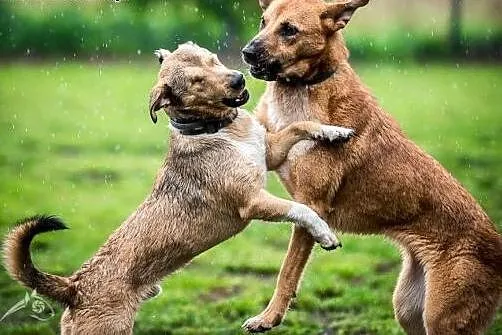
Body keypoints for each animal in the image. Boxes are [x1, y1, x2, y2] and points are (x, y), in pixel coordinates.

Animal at [1, 43, 352, 334]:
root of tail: (74, 287)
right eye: (196, 82)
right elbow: (302, 209)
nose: (239, 78)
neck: (216, 129)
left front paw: (335, 131)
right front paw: (325, 235)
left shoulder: (271, 152)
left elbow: (301, 126)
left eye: (213, 59)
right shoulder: (253, 202)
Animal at [242, 0, 502, 335]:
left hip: (441, 317)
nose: (247, 52)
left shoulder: (311, 203)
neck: (300, 89)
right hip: (408, 308)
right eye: (263, 22)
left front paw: (268, 317)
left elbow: (287, 272)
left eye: (289, 30)